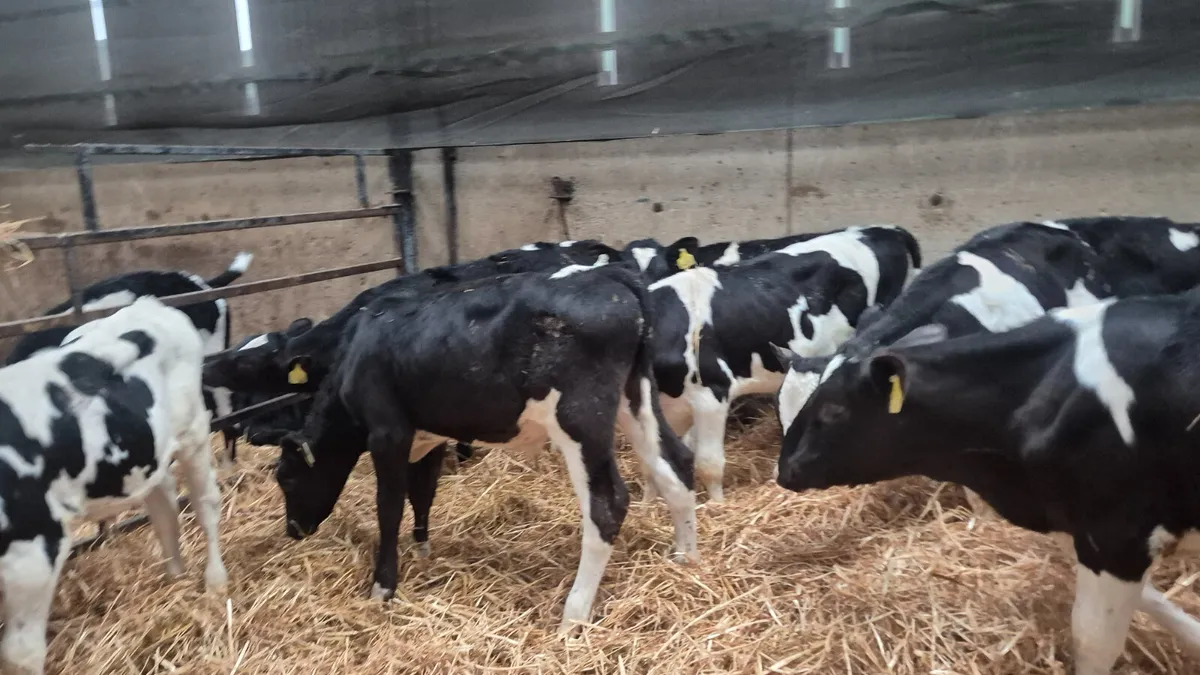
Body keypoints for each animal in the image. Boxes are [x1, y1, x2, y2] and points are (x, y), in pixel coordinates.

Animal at [0, 296, 227, 675]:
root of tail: (148, 305)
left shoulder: (34, 552)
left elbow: (20, 655)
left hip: (193, 429)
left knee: (204, 502)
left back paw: (215, 580)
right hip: (149, 453)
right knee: (164, 509)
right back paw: (175, 577)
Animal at [246, 264, 698, 631]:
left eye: (286, 477)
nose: (293, 530)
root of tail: (611, 276)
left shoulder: (387, 432)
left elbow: (388, 508)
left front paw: (382, 586)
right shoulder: (427, 434)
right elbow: (422, 493)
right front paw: (423, 551)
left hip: (580, 416)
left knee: (607, 503)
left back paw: (573, 616)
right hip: (636, 396)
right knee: (676, 464)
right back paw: (685, 558)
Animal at [774, 292, 1200, 675]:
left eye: (833, 409)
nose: (785, 468)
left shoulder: (1116, 534)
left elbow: (1093, 641)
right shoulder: (1087, 529)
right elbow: (1151, 601)